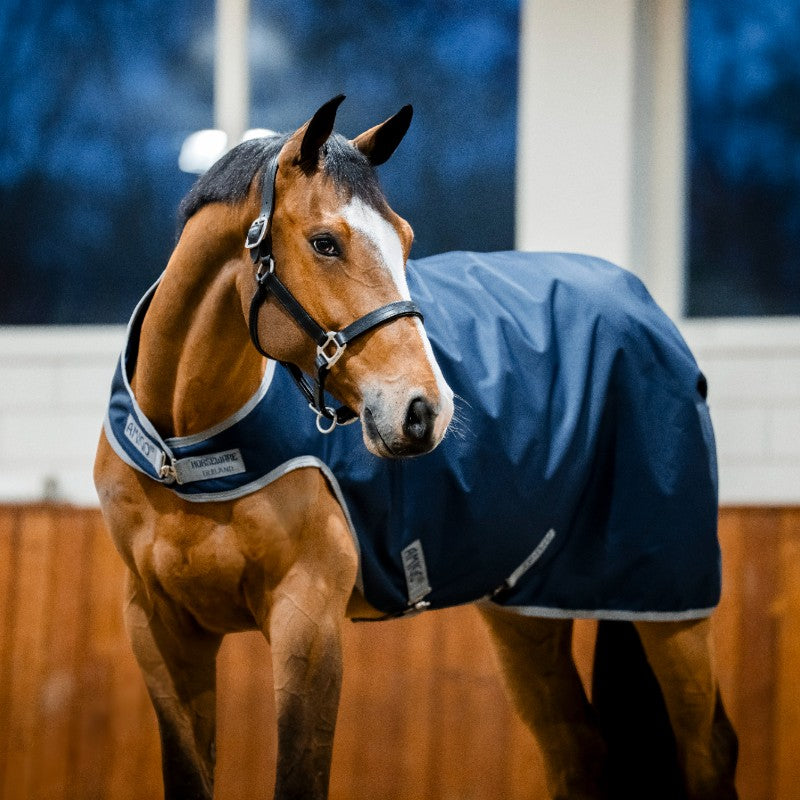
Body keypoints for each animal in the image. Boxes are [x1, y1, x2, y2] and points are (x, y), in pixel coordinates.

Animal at [94, 95, 738, 799]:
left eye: (404, 240)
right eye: (324, 242)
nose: (425, 410)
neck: (186, 452)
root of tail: (647, 310)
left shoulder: (306, 621)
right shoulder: (161, 633)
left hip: (671, 606)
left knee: (707, 751)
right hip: (527, 612)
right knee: (578, 751)